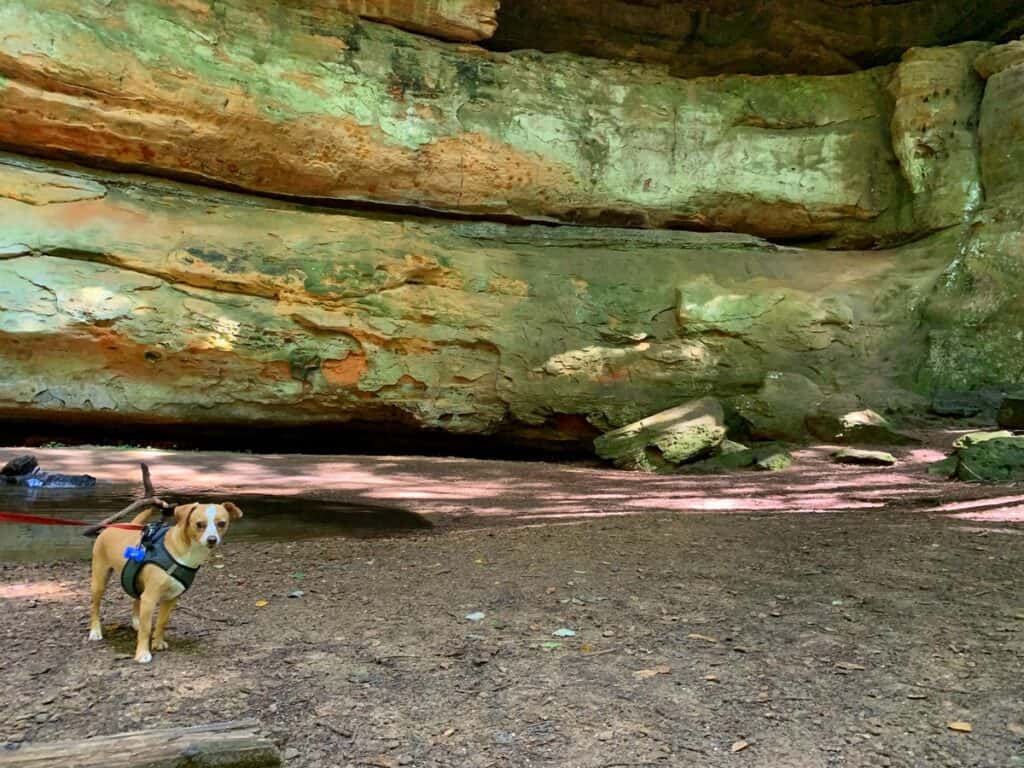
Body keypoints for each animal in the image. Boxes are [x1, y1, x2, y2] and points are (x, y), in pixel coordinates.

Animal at [89, 501, 242, 663]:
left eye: (221, 523)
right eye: (200, 524)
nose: (212, 539)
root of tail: (118, 525)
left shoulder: (171, 598)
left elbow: (162, 622)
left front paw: (157, 642)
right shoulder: (150, 598)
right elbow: (146, 628)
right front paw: (142, 653)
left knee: (136, 600)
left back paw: (136, 622)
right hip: (99, 581)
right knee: (95, 607)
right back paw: (95, 631)